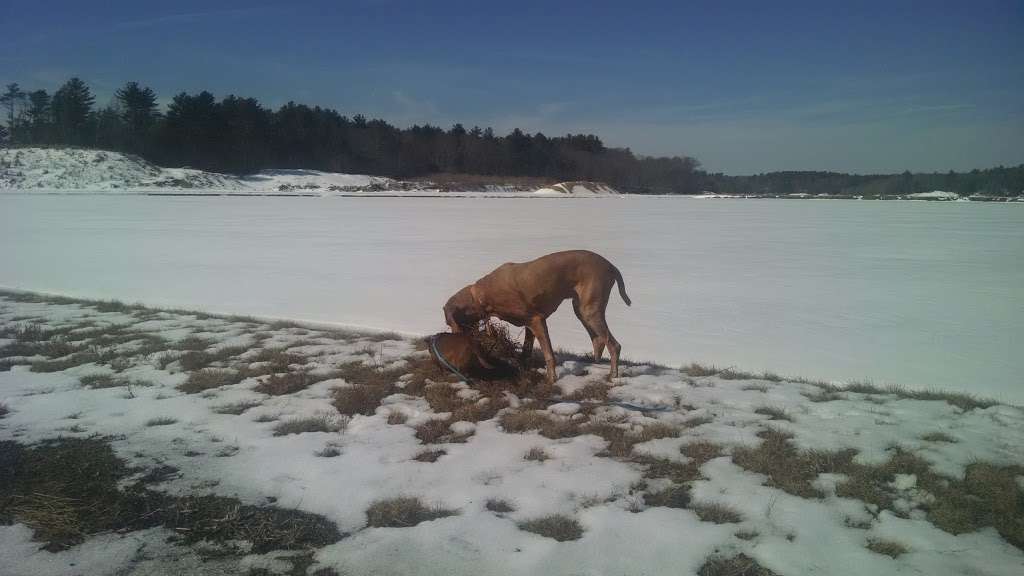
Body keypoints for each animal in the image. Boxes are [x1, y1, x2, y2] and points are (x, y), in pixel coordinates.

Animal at [442, 249, 626, 383]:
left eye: (449, 323)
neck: (481, 296)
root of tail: (611, 266)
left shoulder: (537, 320)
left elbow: (549, 355)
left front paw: (551, 379)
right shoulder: (529, 324)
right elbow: (526, 350)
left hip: (589, 311)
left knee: (614, 345)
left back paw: (612, 375)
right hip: (581, 309)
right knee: (599, 341)